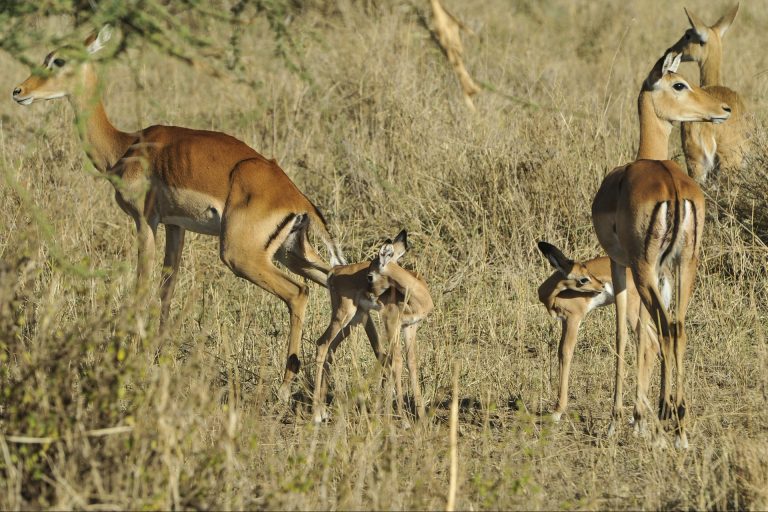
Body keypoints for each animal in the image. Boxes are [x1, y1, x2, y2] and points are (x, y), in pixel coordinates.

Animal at [11, 26, 346, 401]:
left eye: (58, 60)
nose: (19, 91)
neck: (125, 147)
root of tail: (296, 199)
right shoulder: (175, 227)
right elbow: (166, 290)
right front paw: (158, 357)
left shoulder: (145, 222)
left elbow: (141, 286)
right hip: (292, 253)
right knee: (339, 283)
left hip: (241, 256)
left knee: (298, 293)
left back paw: (286, 386)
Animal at [312, 230, 434, 424]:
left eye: (370, 275)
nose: (372, 295)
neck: (417, 295)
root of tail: (334, 271)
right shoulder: (391, 323)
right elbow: (396, 362)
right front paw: (404, 419)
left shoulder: (410, 326)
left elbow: (412, 363)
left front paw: (421, 417)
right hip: (343, 314)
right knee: (322, 343)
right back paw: (316, 414)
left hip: (354, 319)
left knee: (331, 347)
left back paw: (323, 411)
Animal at [536, 242, 659, 423]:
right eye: (583, 277)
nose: (601, 286)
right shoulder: (565, 322)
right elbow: (560, 352)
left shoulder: (573, 319)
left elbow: (566, 353)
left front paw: (557, 412)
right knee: (655, 342)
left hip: (632, 310)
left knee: (649, 343)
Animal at [592, 51, 730, 448]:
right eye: (679, 84)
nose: (723, 109)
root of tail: (672, 185)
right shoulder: (662, 270)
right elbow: (645, 334)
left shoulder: (621, 264)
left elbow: (626, 334)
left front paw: (623, 420)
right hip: (686, 265)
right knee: (678, 327)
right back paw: (680, 424)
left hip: (644, 267)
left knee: (663, 327)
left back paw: (666, 416)